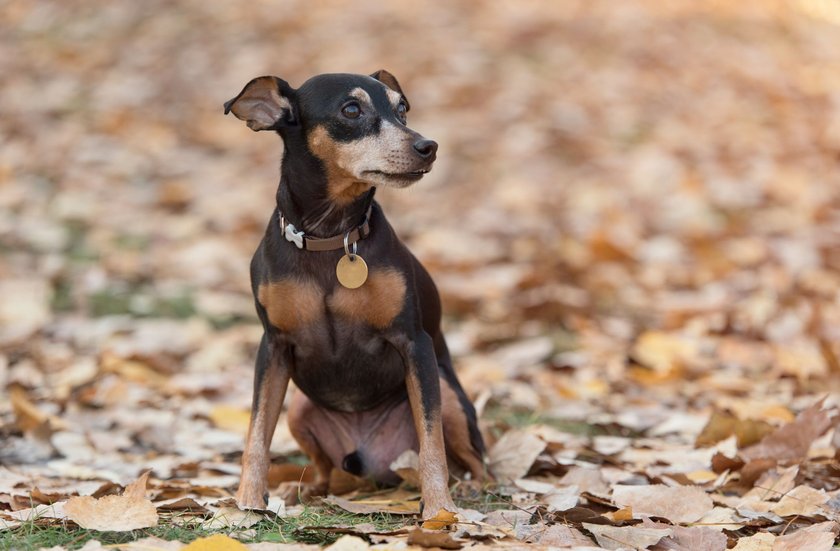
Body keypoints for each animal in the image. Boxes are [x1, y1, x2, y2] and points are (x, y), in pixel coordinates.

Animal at [223, 70, 486, 516]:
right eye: (351, 109)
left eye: (402, 109)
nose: (427, 146)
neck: (331, 237)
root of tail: (370, 465)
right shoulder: (273, 346)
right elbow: (256, 435)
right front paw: (247, 502)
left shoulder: (413, 342)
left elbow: (431, 443)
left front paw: (438, 510)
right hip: (299, 407)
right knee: (326, 469)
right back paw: (307, 489)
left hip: (449, 395)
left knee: (477, 462)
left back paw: (470, 490)